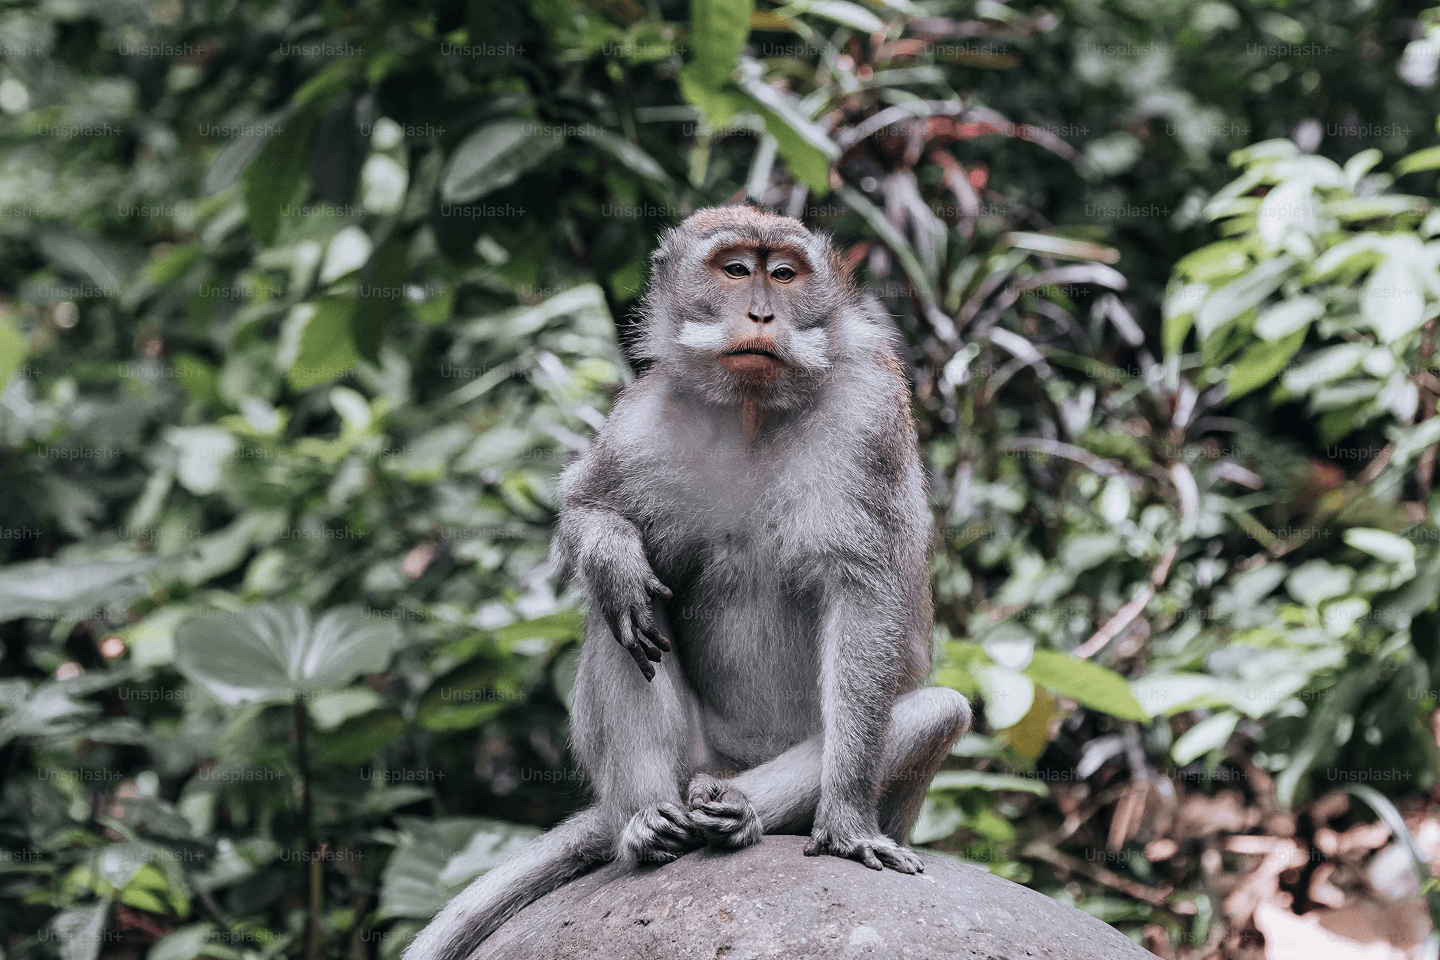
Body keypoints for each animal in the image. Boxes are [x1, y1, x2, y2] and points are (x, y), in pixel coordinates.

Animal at [404, 206, 971, 960]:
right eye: (734, 270)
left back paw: (739, 810)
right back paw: (648, 823)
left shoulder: (870, 414)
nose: (761, 313)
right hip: (683, 759)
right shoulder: (642, 419)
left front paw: (847, 819)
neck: (753, 411)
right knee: (622, 621)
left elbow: (864, 600)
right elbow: (589, 510)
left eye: (783, 273)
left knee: (935, 712)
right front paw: (613, 554)